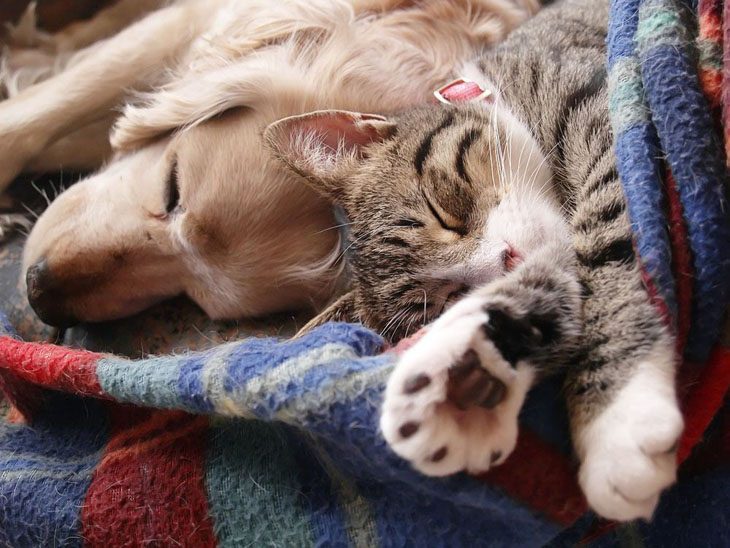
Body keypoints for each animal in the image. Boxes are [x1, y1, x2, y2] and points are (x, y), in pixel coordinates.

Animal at [264, 0, 684, 524]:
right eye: (447, 298)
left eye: (444, 211)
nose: (507, 259)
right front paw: (466, 369)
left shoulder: (606, 111)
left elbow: (608, 241)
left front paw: (617, 418)